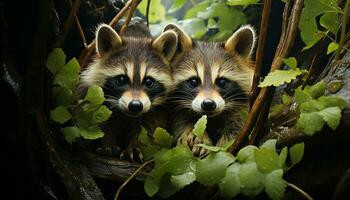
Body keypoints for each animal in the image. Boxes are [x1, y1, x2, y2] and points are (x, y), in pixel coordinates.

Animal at [79, 24, 178, 160]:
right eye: (121, 79)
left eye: (148, 81)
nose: (135, 105)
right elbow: (103, 122)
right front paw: (107, 143)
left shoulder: (159, 111)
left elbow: (150, 129)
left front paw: (136, 146)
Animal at [164, 23, 258, 155]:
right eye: (193, 81)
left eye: (222, 82)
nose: (208, 104)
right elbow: (179, 119)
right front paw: (190, 129)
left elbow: (240, 122)